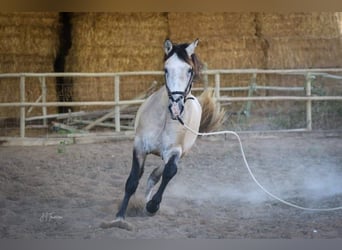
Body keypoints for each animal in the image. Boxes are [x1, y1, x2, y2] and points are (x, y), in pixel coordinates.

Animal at [101, 38, 224, 229]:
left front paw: (152, 206)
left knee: (156, 175)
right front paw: (120, 217)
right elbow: (132, 180)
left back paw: (146, 202)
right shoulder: (139, 147)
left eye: (189, 70)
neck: (165, 119)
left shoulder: (174, 152)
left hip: (176, 154)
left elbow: (169, 172)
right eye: (166, 69)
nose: (176, 106)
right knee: (146, 175)